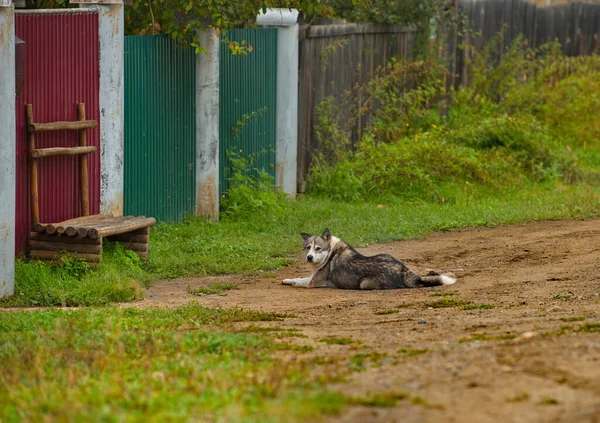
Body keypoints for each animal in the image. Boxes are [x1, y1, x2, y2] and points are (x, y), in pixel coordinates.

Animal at [282, 229, 454, 292]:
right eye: (307, 247)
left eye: (318, 248)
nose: (309, 257)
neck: (330, 251)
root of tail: (403, 271)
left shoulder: (312, 282)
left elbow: (299, 280)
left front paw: (287, 280)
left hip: (364, 284)